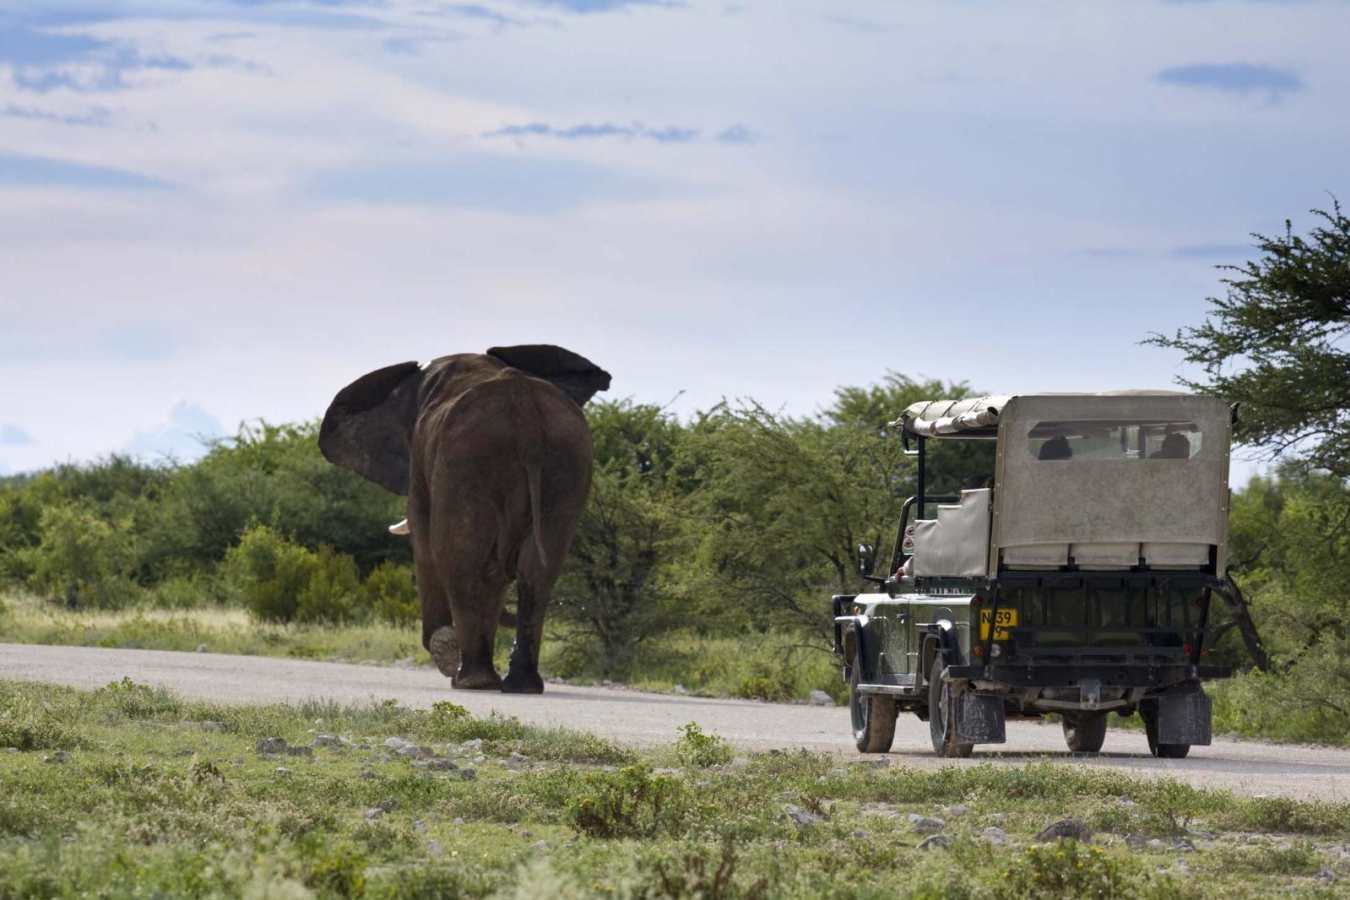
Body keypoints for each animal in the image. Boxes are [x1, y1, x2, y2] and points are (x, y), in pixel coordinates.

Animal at [318, 345, 611, 693]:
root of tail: (522, 404)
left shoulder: (422, 455)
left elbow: (425, 543)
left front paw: (444, 650)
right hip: (566, 460)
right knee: (536, 571)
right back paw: (519, 685)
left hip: (469, 459)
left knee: (462, 560)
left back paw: (471, 679)